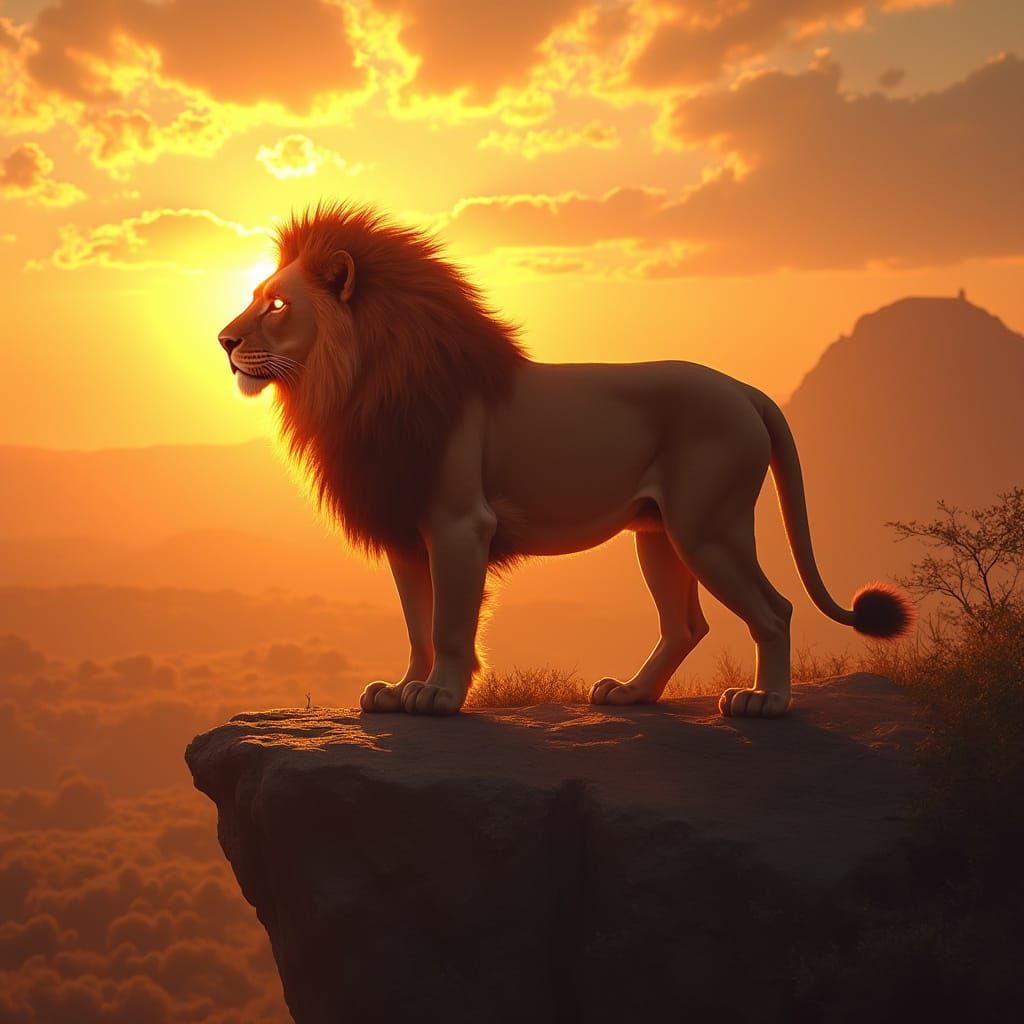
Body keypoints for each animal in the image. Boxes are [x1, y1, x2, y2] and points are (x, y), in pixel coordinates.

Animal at [218, 201, 914, 718]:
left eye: (277, 305)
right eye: (258, 297)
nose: (223, 340)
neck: (357, 387)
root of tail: (745, 389)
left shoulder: (459, 523)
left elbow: (449, 623)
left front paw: (439, 695)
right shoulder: (405, 531)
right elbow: (417, 622)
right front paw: (398, 690)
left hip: (708, 526)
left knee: (774, 610)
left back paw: (765, 702)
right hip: (658, 533)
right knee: (686, 625)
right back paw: (631, 694)